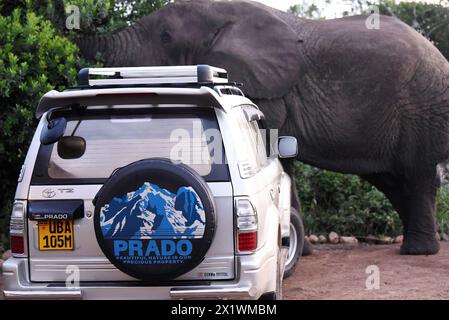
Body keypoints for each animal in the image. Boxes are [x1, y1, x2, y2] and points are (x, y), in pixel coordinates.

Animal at [75, 0, 448, 255]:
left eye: (166, 37)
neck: (225, 13)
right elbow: (285, 162)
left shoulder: (267, 92)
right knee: (392, 181)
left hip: (422, 107)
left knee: (417, 175)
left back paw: (417, 252)